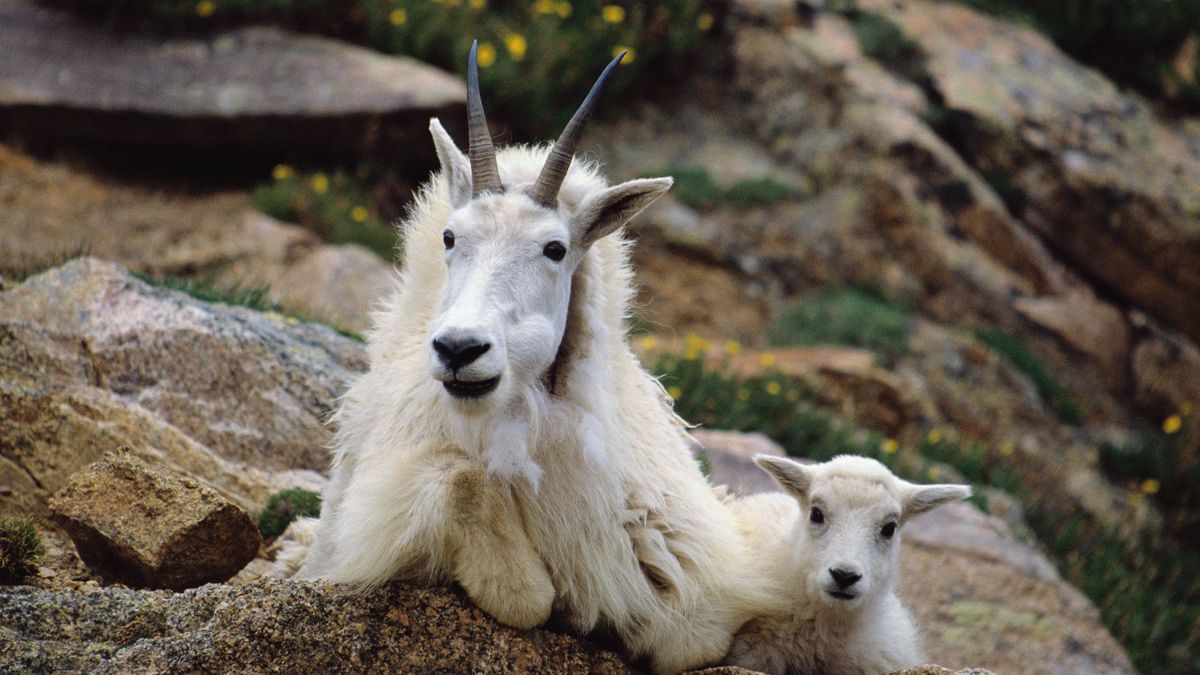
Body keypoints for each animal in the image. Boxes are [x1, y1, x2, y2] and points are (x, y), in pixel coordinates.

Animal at [282, 44, 768, 667]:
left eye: (555, 248)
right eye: (450, 237)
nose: (459, 348)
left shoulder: (689, 594)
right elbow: (517, 580)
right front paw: (549, 601)